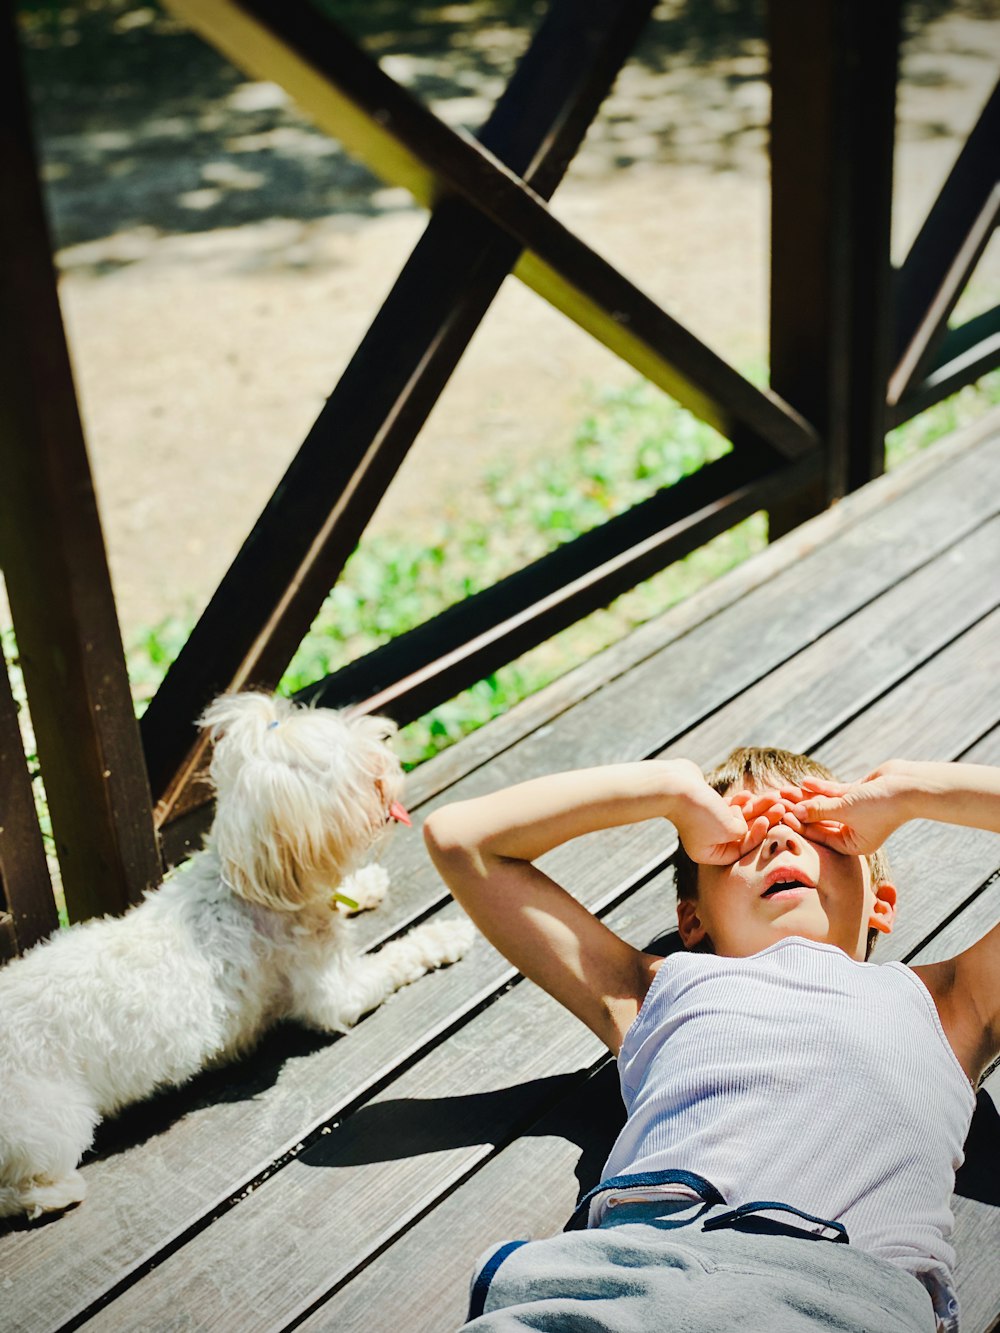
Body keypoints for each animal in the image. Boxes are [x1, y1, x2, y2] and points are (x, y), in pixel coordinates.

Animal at [0, 693, 474, 1221]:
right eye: (353, 766)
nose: (387, 749)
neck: (246, 887)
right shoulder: (335, 995)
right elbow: (397, 957)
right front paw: (445, 937)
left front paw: (364, 884)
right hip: (49, 1122)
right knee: (18, 1186)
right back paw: (53, 1195)